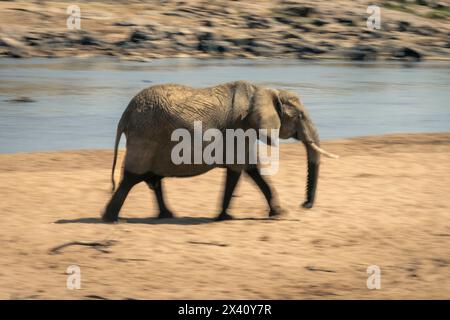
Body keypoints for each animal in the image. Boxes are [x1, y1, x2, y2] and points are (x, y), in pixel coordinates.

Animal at [101, 80, 334, 222]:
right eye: (300, 116)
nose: (304, 205)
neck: (263, 90)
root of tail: (125, 116)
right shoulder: (239, 128)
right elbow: (237, 171)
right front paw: (224, 217)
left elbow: (253, 170)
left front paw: (279, 214)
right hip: (145, 138)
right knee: (131, 178)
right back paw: (110, 218)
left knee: (153, 179)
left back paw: (167, 215)